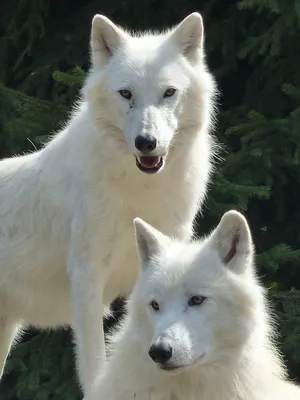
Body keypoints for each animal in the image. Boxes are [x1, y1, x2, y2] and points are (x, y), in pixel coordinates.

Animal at [0, 10, 217, 392]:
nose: (146, 142)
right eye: (126, 93)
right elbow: (95, 367)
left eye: (169, 92)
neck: (140, 193)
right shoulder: (87, 279)